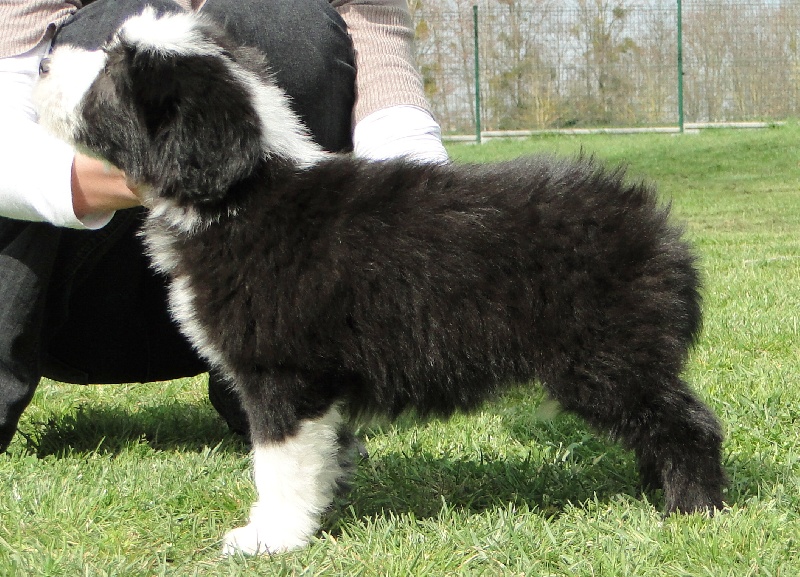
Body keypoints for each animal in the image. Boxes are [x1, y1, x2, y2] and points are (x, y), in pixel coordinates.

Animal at [33, 9, 726, 555]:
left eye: (111, 77)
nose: (39, 63)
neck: (240, 193)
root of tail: (654, 225)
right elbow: (319, 457)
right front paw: (314, 513)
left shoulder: (282, 374)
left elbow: (278, 464)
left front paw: (269, 538)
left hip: (603, 358)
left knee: (688, 424)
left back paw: (691, 509)